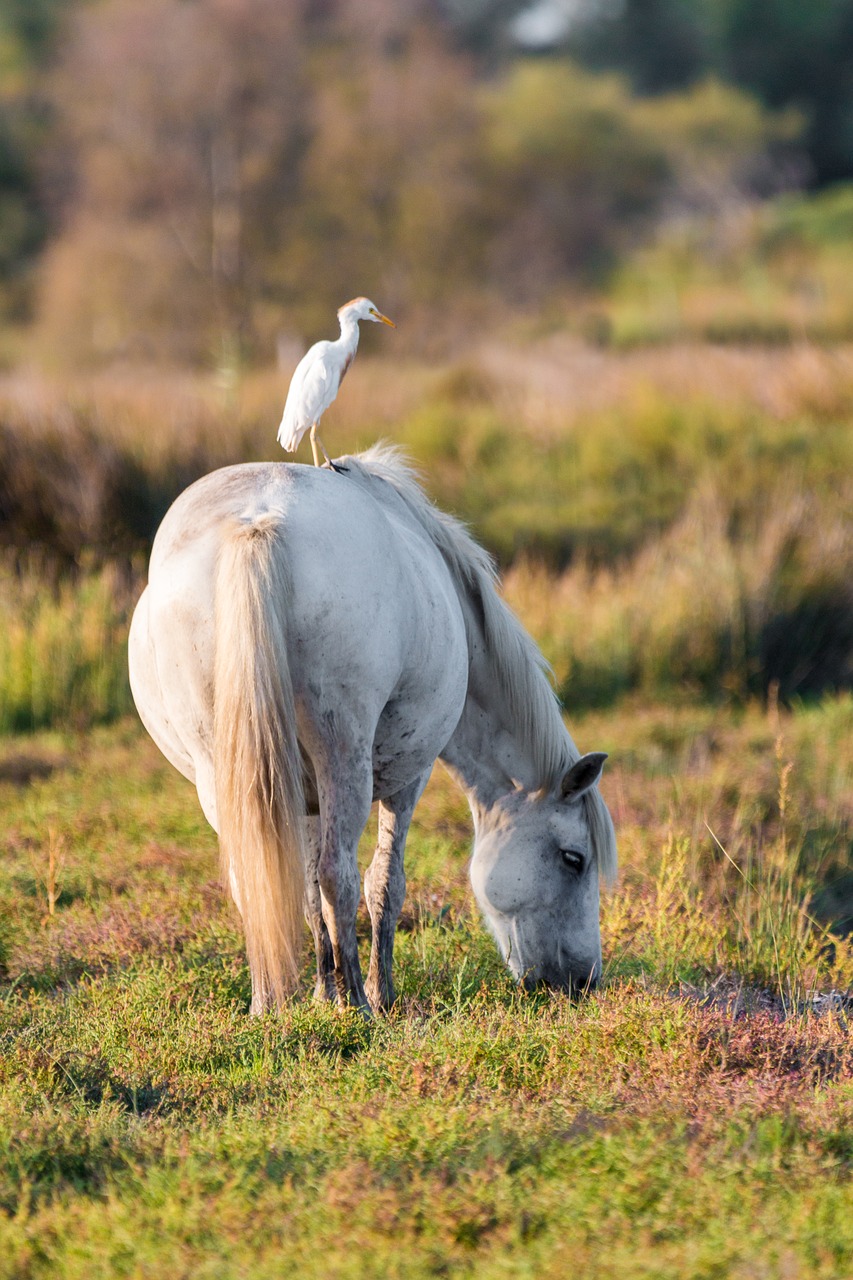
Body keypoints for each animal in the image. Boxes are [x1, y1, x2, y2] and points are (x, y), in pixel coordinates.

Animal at [128, 445, 612, 1013]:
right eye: (574, 859)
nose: (583, 981)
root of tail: (258, 523)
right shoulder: (409, 777)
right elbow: (383, 883)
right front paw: (379, 995)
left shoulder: (301, 796)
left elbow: (307, 889)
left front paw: (322, 991)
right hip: (345, 758)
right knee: (339, 874)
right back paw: (357, 1001)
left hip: (221, 775)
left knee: (264, 879)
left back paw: (271, 1003)